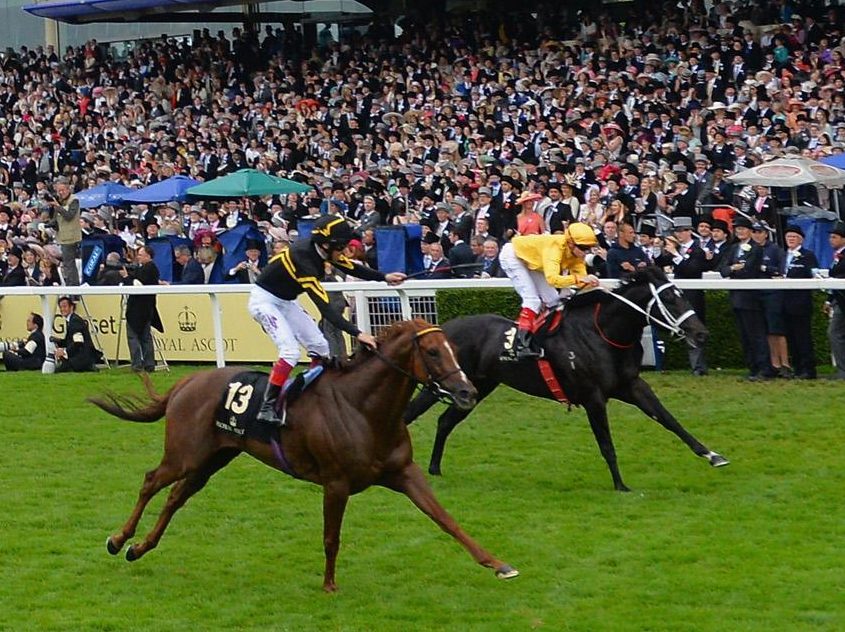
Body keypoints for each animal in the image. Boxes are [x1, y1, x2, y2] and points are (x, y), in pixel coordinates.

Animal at [89, 320, 516, 592]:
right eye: (431, 352)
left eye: (454, 349)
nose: (467, 393)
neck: (364, 409)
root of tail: (186, 381)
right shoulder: (336, 482)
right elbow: (331, 536)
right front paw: (329, 584)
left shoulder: (405, 472)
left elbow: (446, 519)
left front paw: (498, 564)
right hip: (185, 454)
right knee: (151, 481)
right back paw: (118, 539)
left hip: (213, 459)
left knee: (176, 497)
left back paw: (139, 548)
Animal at [406, 266, 728, 494]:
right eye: (671, 299)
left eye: (683, 294)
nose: (702, 334)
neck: (604, 333)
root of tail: (439, 328)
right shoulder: (593, 397)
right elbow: (606, 443)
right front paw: (621, 485)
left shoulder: (632, 386)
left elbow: (669, 419)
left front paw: (712, 455)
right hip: (447, 384)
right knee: (409, 413)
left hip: (475, 388)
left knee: (445, 421)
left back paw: (434, 469)